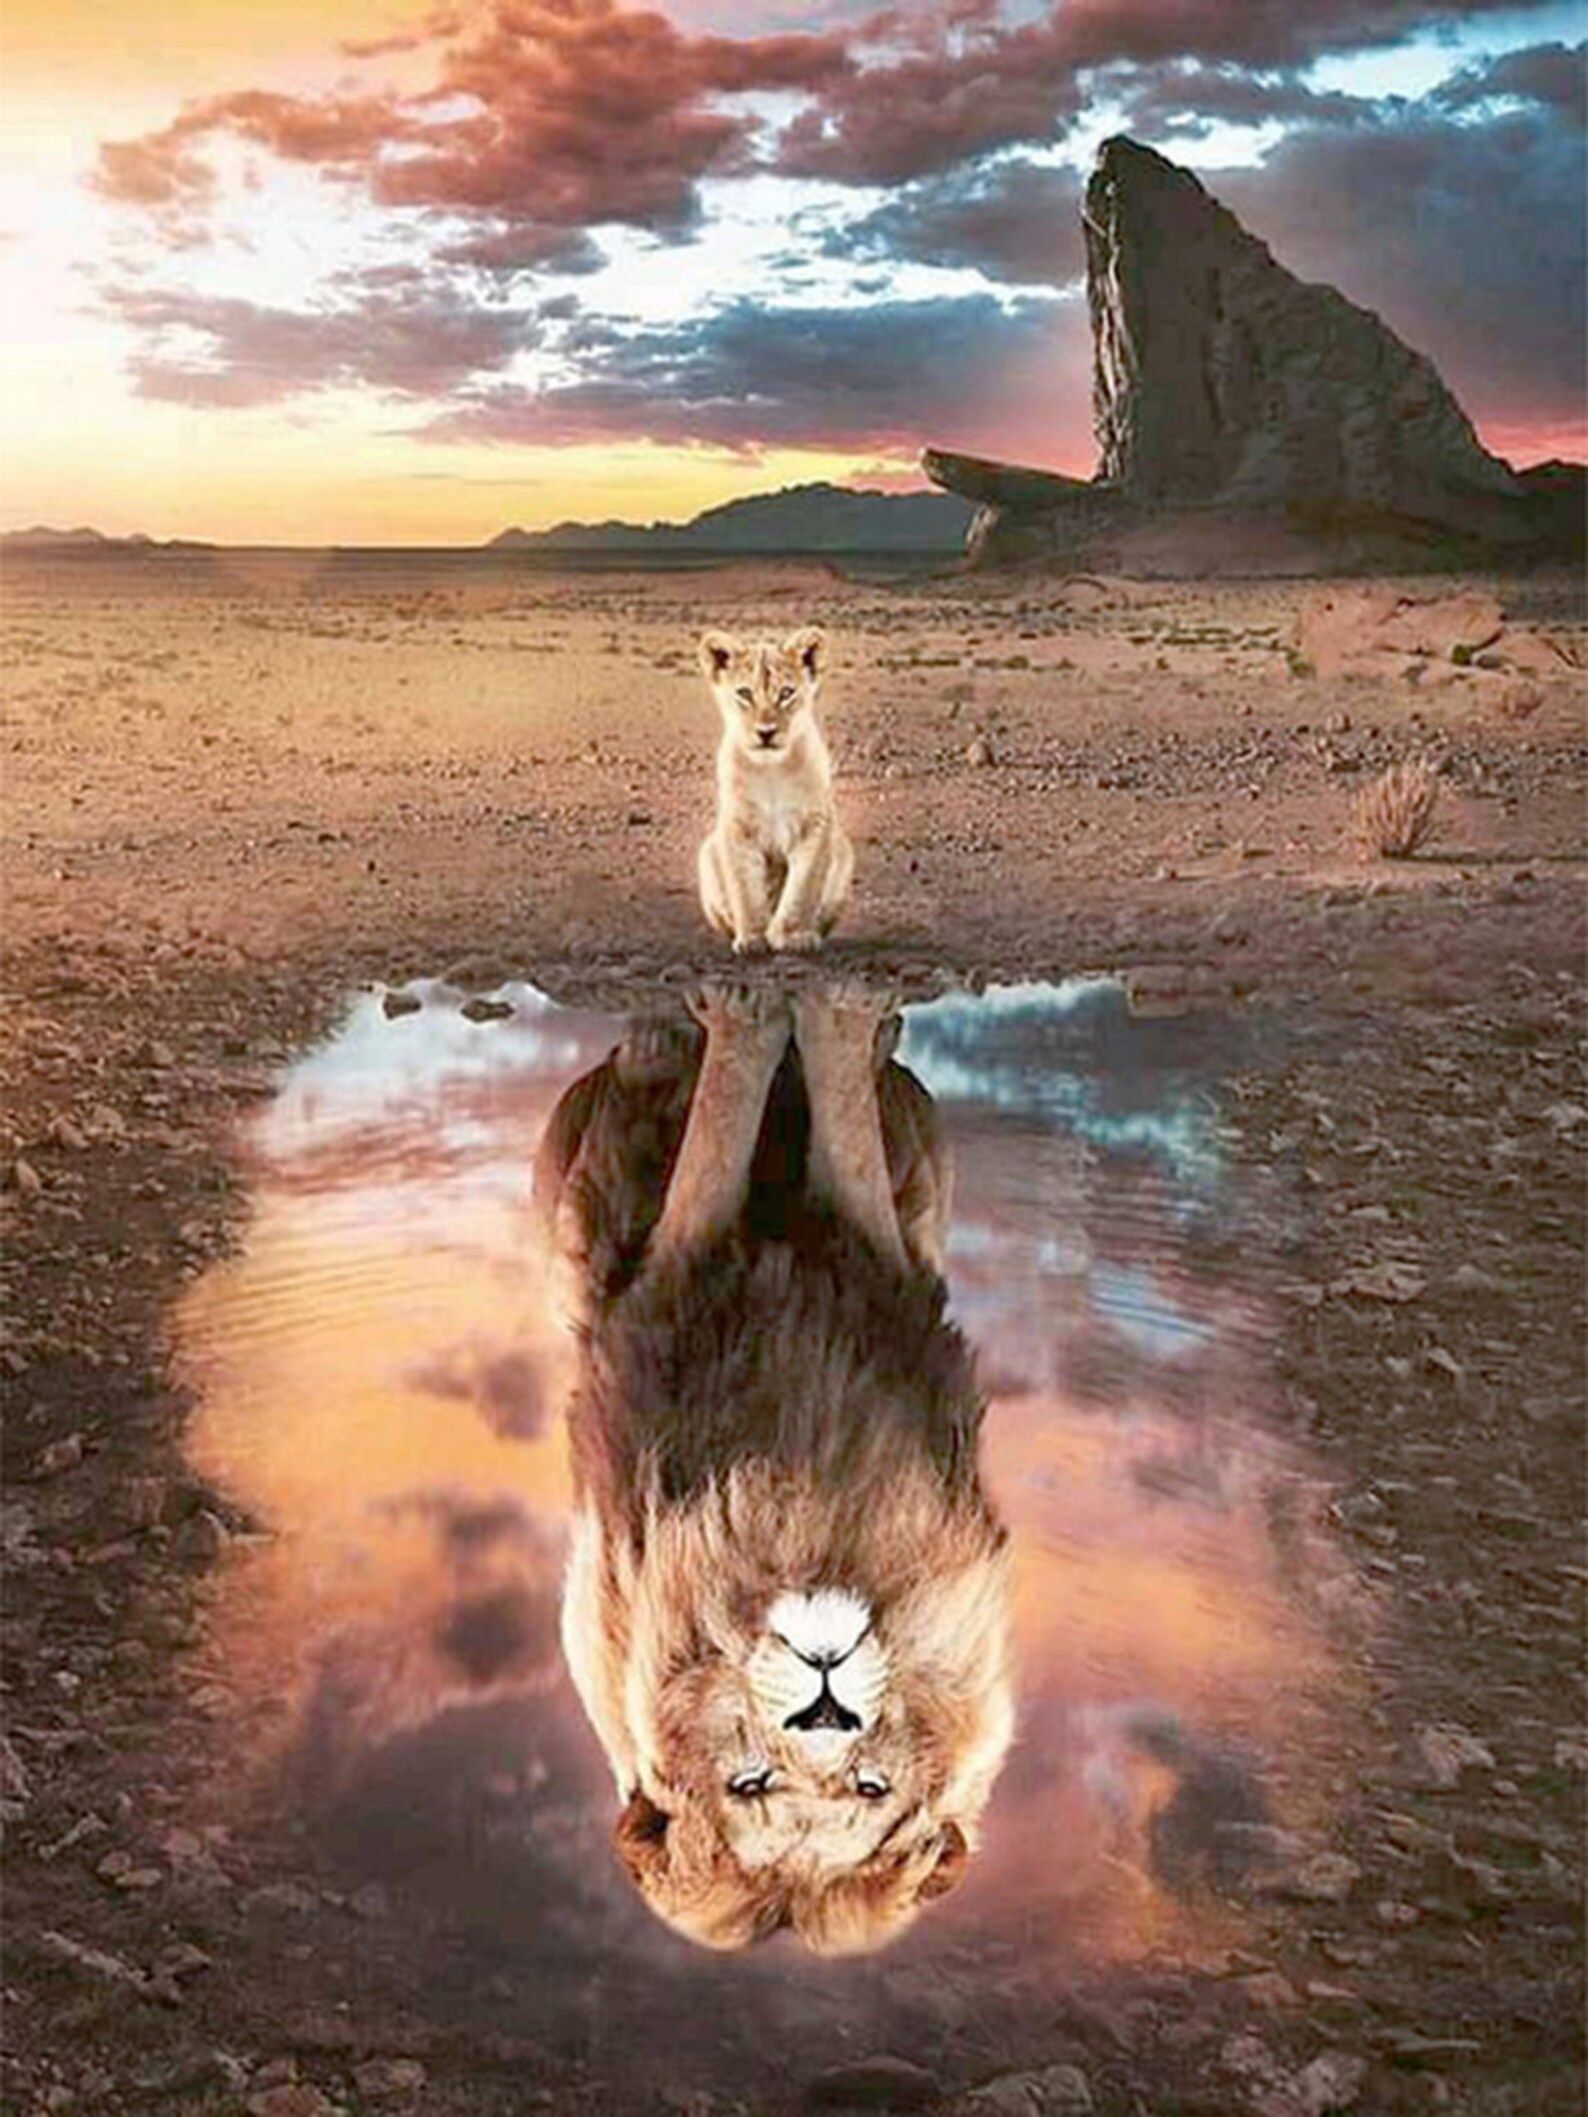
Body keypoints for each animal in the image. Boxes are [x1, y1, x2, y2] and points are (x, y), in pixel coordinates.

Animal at [534, 982, 1012, 1953]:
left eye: (869, 1785)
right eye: (749, 1782)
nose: (826, 1704)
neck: (799, 1523)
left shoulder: (885, 1258)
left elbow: (838, 1129)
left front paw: (828, 1012)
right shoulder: (673, 1270)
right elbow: (725, 1121)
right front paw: (756, 1008)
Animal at [695, 626, 854, 954]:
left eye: (786, 693)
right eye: (744, 694)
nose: (766, 732)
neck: (770, 770)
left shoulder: (815, 824)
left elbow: (802, 888)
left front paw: (795, 936)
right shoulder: (737, 827)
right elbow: (746, 889)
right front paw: (754, 938)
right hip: (706, 852)